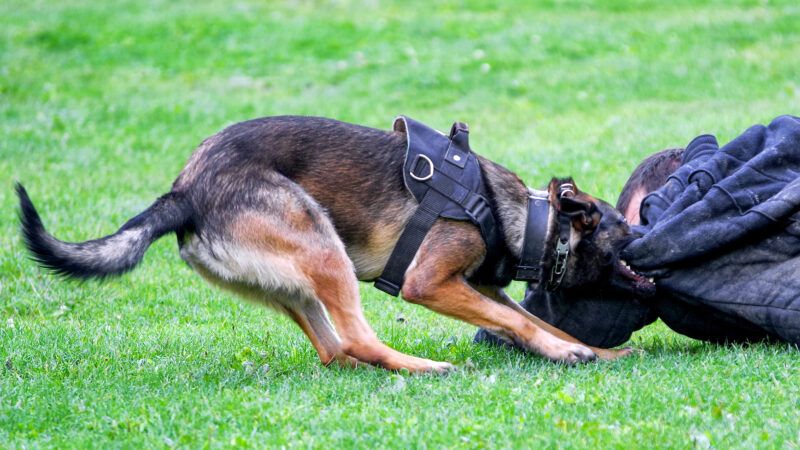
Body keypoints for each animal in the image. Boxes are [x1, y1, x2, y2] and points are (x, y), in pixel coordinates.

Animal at [15, 116, 652, 372]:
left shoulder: (479, 288)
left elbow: (534, 320)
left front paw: (591, 351)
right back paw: (425, 367)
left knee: (335, 348)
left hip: (297, 276)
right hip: (323, 245)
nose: (653, 235)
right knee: (358, 340)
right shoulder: (430, 283)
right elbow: (524, 321)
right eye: (626, 232)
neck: (521, 217)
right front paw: (569, 353)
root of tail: (184, 192)